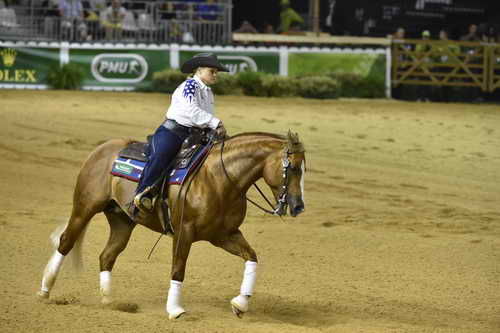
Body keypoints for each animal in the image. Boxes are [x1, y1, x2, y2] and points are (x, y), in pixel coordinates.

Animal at [37, 130, 306, 320]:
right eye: (292, 168)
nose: (298, 206)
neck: (219, 177)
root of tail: (102, 148)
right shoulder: (184, 232)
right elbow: (178, 269)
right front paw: (175, 309)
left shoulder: (224, 235)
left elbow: (251, 256)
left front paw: (240, 303)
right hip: (84, 208)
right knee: (66, 241)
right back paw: (45, 290)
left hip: (122, 220)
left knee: (107, 256)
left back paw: (109, 301)